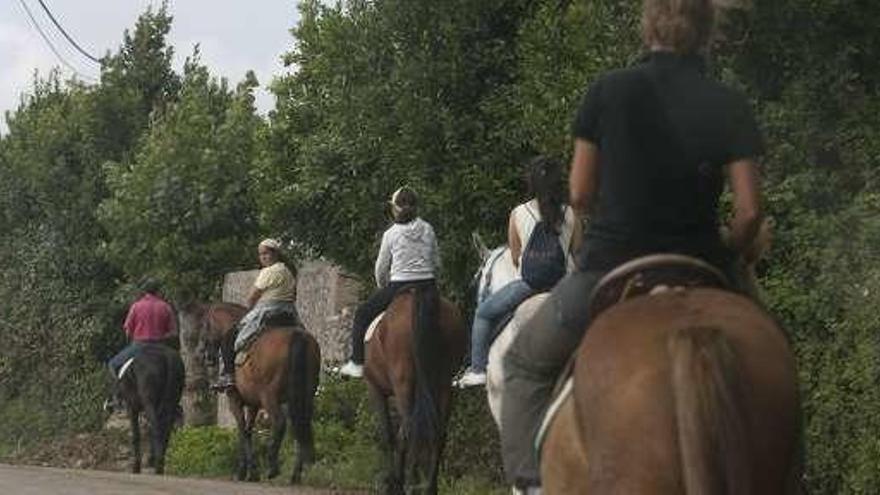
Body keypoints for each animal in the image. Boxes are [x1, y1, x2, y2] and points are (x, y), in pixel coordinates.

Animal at [184, 302, 322, 484]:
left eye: (206, 325)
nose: (203, 355)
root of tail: (298, 336)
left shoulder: (234, 400)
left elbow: (242, 430)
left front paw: (243, 471)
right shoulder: (253, 404)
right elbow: (249, 430)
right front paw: (252, 472)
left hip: (269, 396)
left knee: (280, 423)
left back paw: (273, 467)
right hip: (304, 396)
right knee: (300, 425)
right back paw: (295, 475)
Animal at [366, 282, 470, 495]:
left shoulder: (375, 387)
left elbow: (387, 434)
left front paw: (393, 482)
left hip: (403, 383)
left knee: (410, 428)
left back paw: (409, 484)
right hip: (443, 384)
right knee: (438, 432)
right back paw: (429, 486)